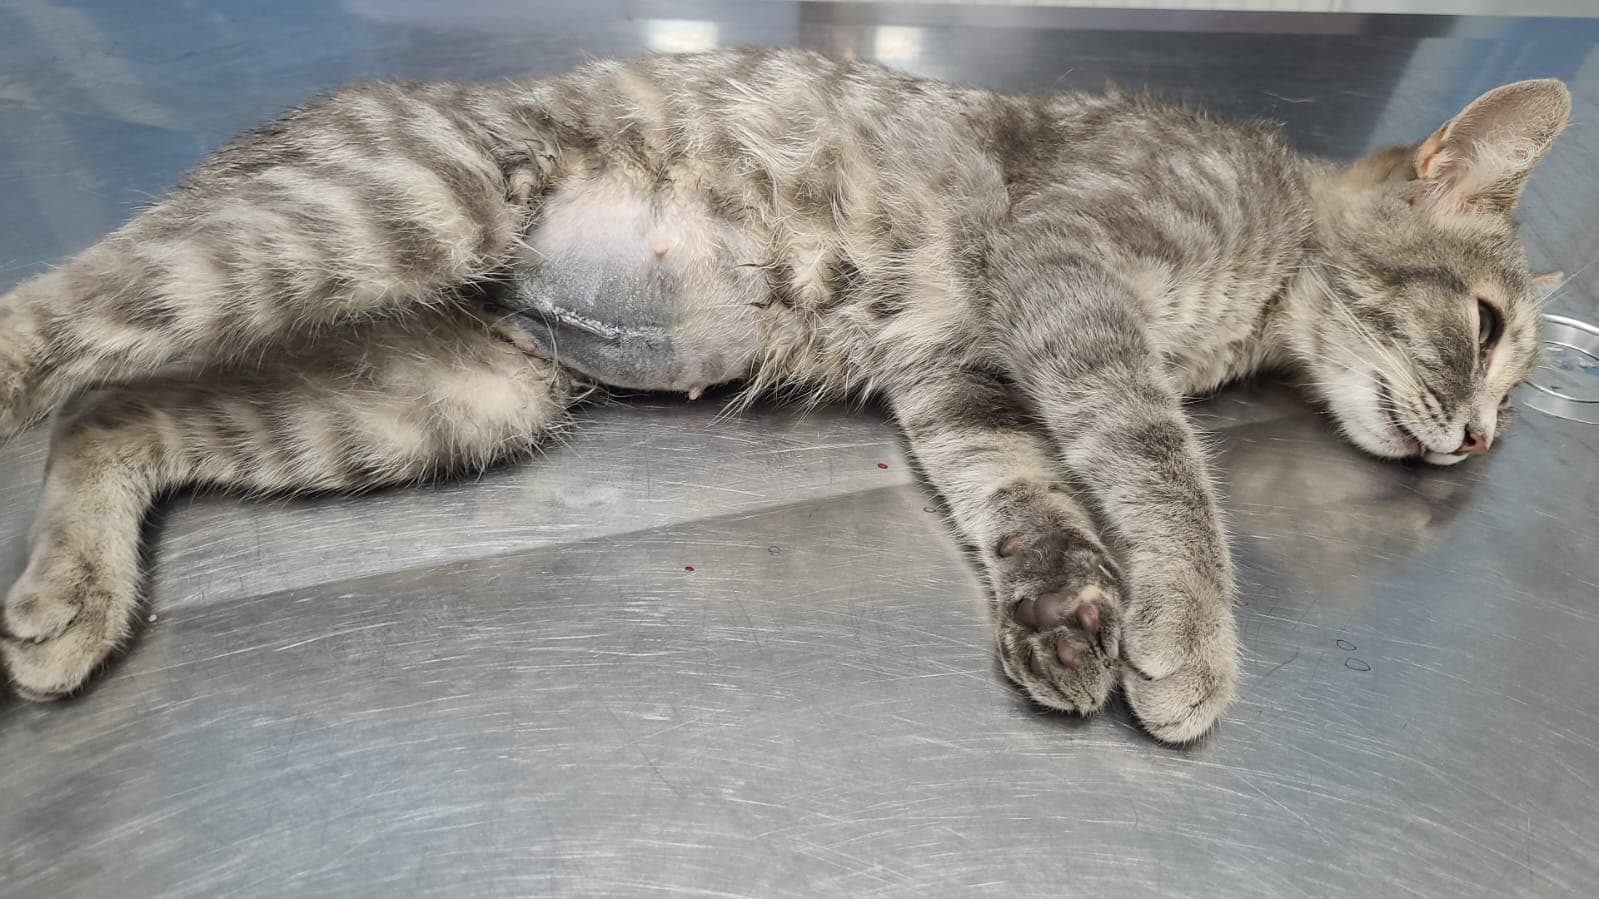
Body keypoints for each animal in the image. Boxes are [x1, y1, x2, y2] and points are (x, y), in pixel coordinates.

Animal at [0, 48, 1568, 743]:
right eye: (1486, 326)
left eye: (1513, 371)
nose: (1480, 435)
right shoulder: (1065, 270)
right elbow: (1150, 454)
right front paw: (1186, 624)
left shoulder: (960, 375)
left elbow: (1025, 486)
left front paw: (1068, 605)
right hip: (390, 207)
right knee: (51, 324)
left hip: (439, 391)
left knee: (116, 410)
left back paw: (71, 590)